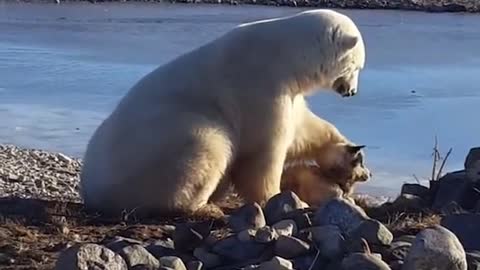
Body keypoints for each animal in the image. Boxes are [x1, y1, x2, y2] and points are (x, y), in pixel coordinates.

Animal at [79, 8, 364, 217]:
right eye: (357, 66)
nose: (352, 92)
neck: (287, 54)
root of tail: (90, 189)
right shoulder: (262, 85)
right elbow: (262, 151)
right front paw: (280, 199)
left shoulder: (289, 93)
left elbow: (303, 129)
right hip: (162, 145)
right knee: (208, 146)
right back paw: (204, 206)